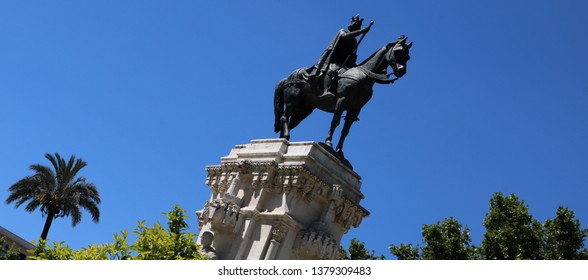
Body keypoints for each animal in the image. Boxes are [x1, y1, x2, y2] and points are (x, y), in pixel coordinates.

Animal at [274, 35, 412, 154]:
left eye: (408, 56)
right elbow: (335, 122)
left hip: (304, 110)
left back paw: (284, 139)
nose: (402, 71)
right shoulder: (342, 100)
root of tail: (287, 78)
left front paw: (340, 151)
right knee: (284, 117)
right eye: (398, 51)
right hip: (292, 102)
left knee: (291, 123)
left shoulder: (355, 109)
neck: (363, 75)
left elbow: (346, 131)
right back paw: (285, 136)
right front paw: (328, 143)